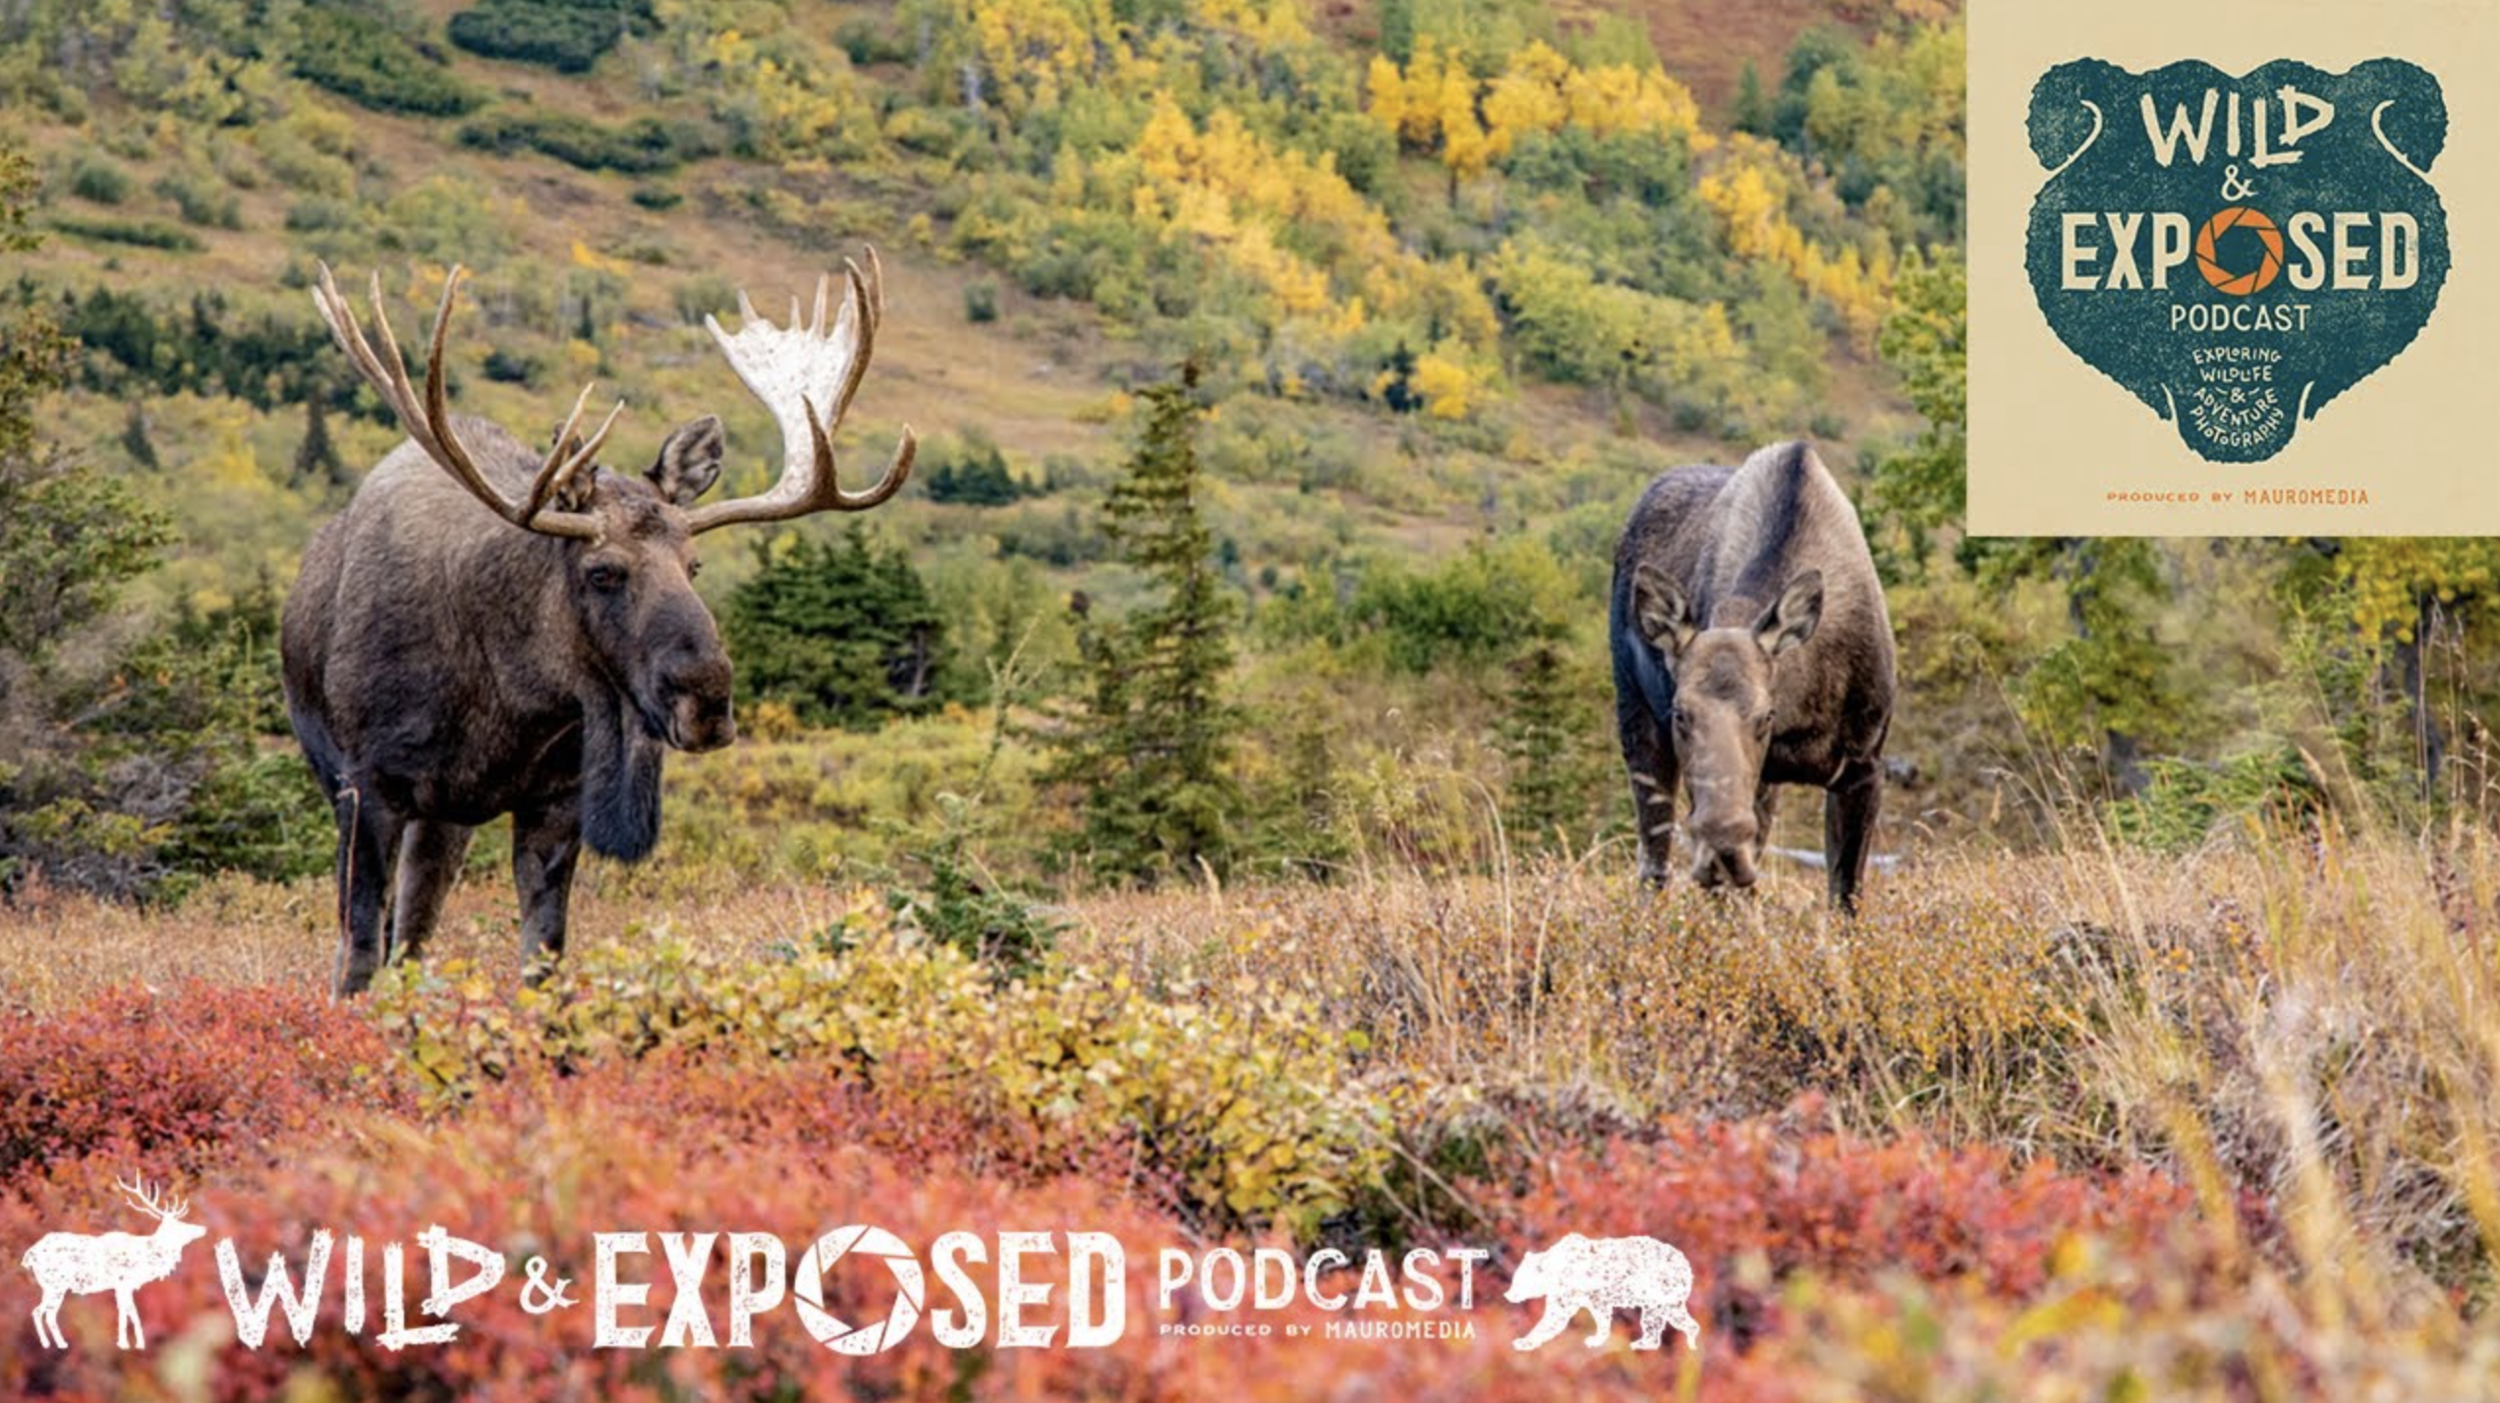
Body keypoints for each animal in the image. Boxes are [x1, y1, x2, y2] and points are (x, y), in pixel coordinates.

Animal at [21, 1176, 209, 1349]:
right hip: (55, 1284)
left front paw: (133, 1343)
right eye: (180, 1225)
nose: (203, 1228)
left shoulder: (124, 1286)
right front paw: (128, 1344)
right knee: (44, 1312)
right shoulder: (123, 1283)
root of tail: (29, 1255)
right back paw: (57, 1344)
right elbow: (127, 1313)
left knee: (40, 1312)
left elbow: (129, 1313)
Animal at [282, 249, 915, 995]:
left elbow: (542, 956)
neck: (509, 700)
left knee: (413, 931)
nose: (708, 700)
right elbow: (355, 955)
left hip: (445, 818)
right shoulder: (366, 785)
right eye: (602, 571)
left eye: (694, 564)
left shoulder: (557, 798)